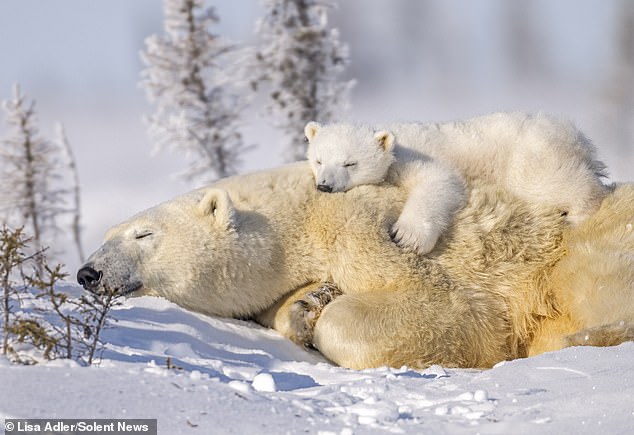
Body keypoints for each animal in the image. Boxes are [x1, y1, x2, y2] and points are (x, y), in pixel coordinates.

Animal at [78, 163, 632, 372]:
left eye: (143, 234)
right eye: (104, 237)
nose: (88, 274)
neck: (300, 217)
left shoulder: (365, 227)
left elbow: (455, 308)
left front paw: (329, 312)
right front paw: (309, 303)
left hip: (587, 244)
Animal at [304, 112, 608, 255]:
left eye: (349, 163)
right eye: (319, 160)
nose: (325, 185)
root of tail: (574, 134)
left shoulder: (410, 158)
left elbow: (441, 181)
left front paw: (407, 236)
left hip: (528, 151)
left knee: (539, 181)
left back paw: (580, 212)